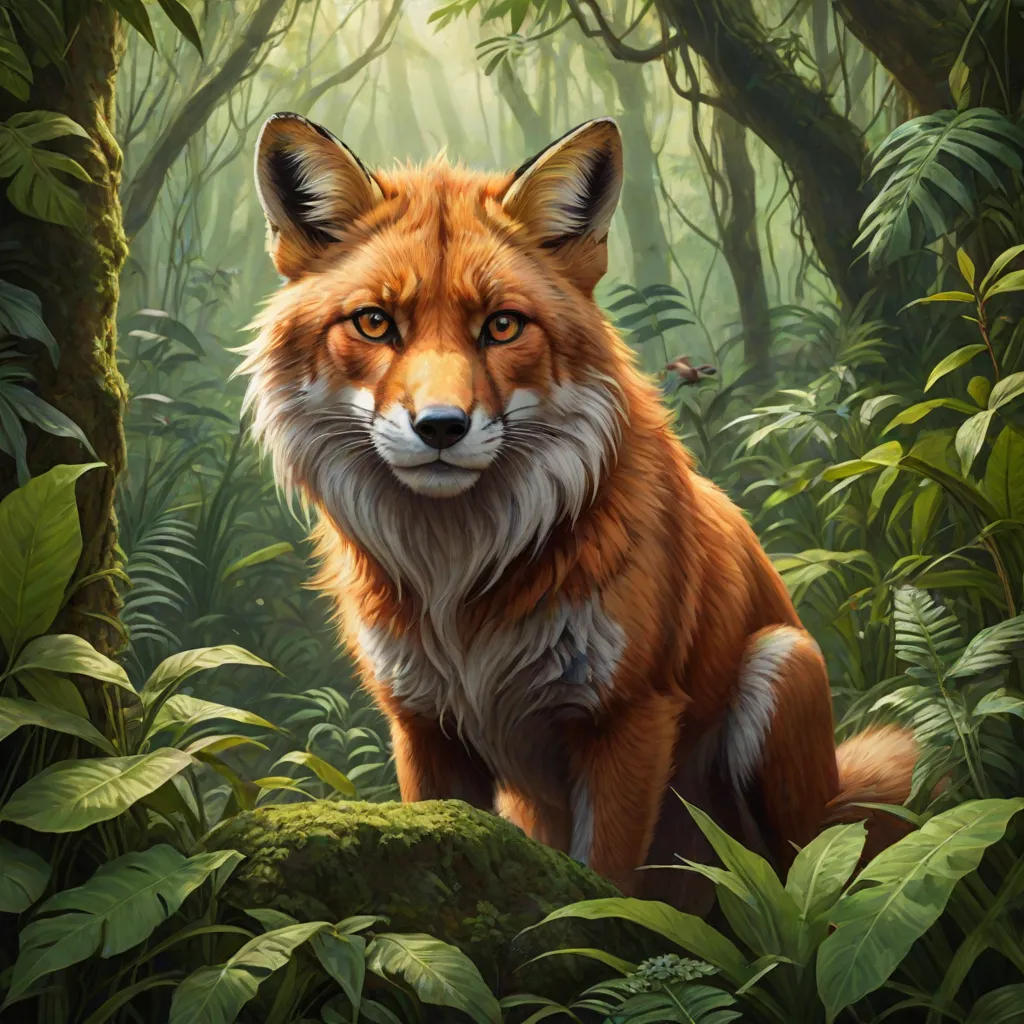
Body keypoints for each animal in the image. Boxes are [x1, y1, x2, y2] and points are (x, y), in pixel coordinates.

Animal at [242, 112, 917, 905]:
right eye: (375, 323)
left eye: (502, 326)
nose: (441, 427)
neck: (461, 581)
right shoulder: (424, 725)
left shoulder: (627, 717)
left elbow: (607, 893)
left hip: (784, 670)